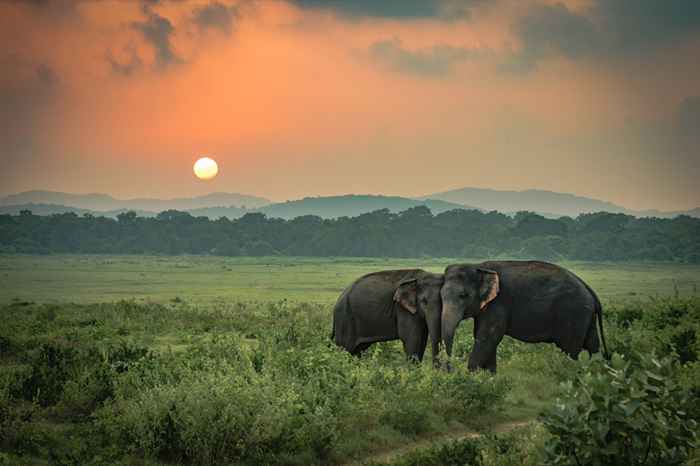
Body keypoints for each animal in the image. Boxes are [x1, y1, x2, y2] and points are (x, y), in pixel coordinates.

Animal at [440, 260, 608, 374]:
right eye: (441, 296)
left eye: (463, 295)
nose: (450, 369)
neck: (478, 266)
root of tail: (589, 289)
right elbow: (485, 338)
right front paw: (489, 378)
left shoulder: (498, 303)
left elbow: (488, 338)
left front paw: (472, 377)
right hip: (585, 315)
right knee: (592, 344)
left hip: (573, 314)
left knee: (570, 350)